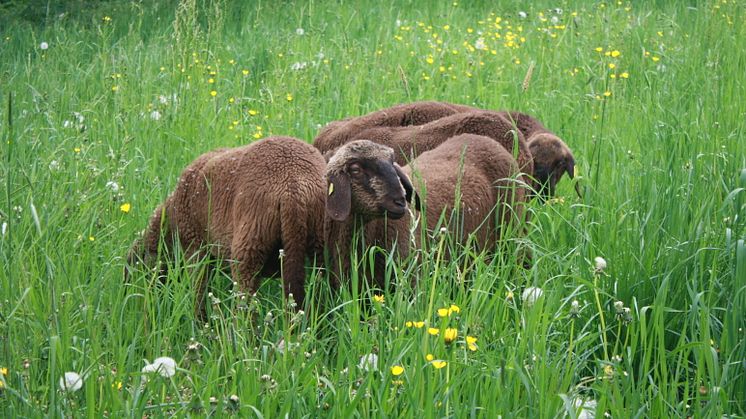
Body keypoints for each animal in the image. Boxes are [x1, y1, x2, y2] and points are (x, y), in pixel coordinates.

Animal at [125, 136, 326, 316]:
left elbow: (198, 292)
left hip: (249, 246)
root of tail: (293, 186)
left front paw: (200, 323)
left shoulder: (195, 248)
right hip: (320, 243)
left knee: (246, 308)